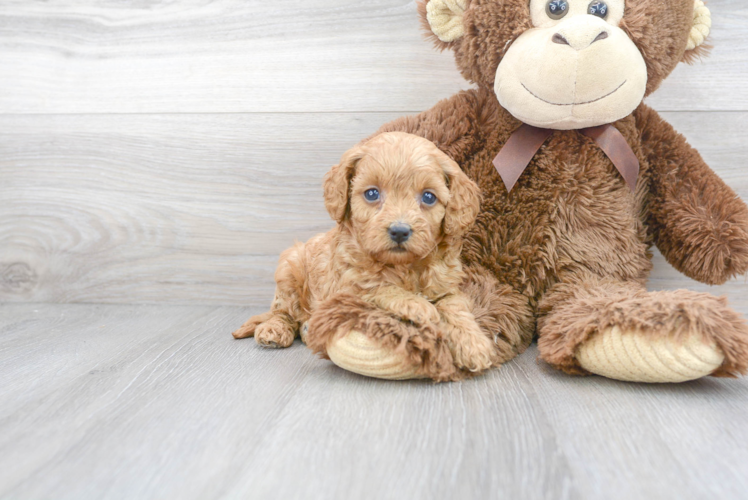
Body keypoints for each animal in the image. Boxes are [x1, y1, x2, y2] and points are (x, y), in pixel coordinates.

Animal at [231, 132, 494, 376]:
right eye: (372, 194)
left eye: (428, 197)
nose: (399, 231)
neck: (404, 266)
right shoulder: (346, 288)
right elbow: (378, 288)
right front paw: (417, 305)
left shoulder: (447, 287)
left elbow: (454, 306)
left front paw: (474, 345)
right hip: (289, 267)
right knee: (283, 311)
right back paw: (275, 330)